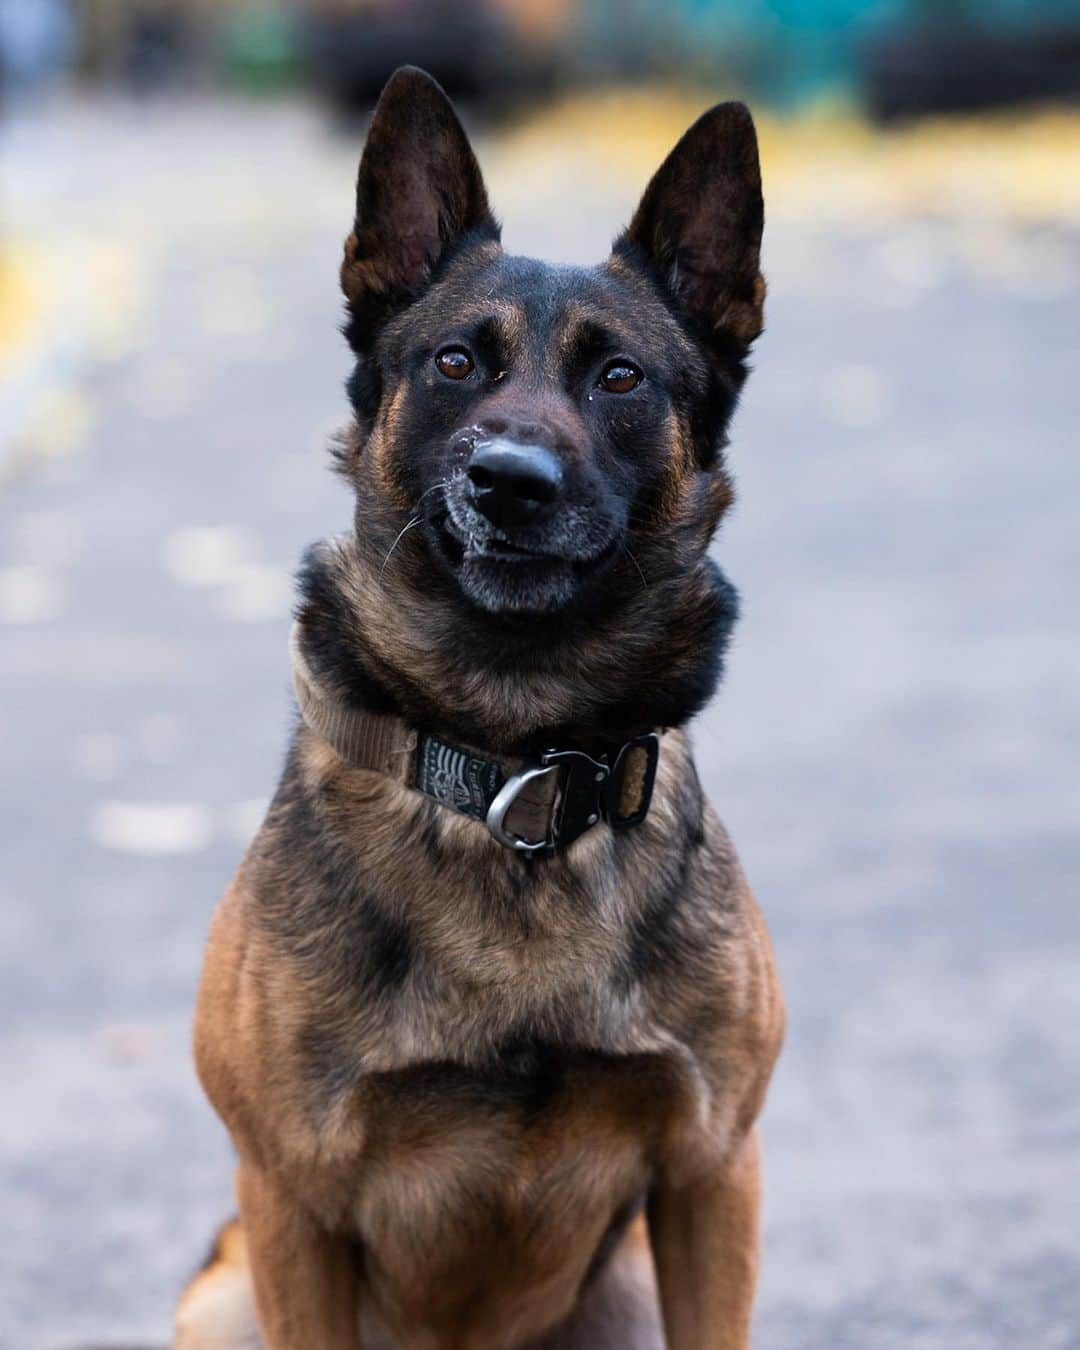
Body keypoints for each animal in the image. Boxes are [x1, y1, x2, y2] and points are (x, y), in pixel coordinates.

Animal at [176, 65, 783, 1350]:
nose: (508, 482)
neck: (517, 765)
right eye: (457, 363)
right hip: (226, 1295)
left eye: (620, 377)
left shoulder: (713, 1176)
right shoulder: (291, 1204)